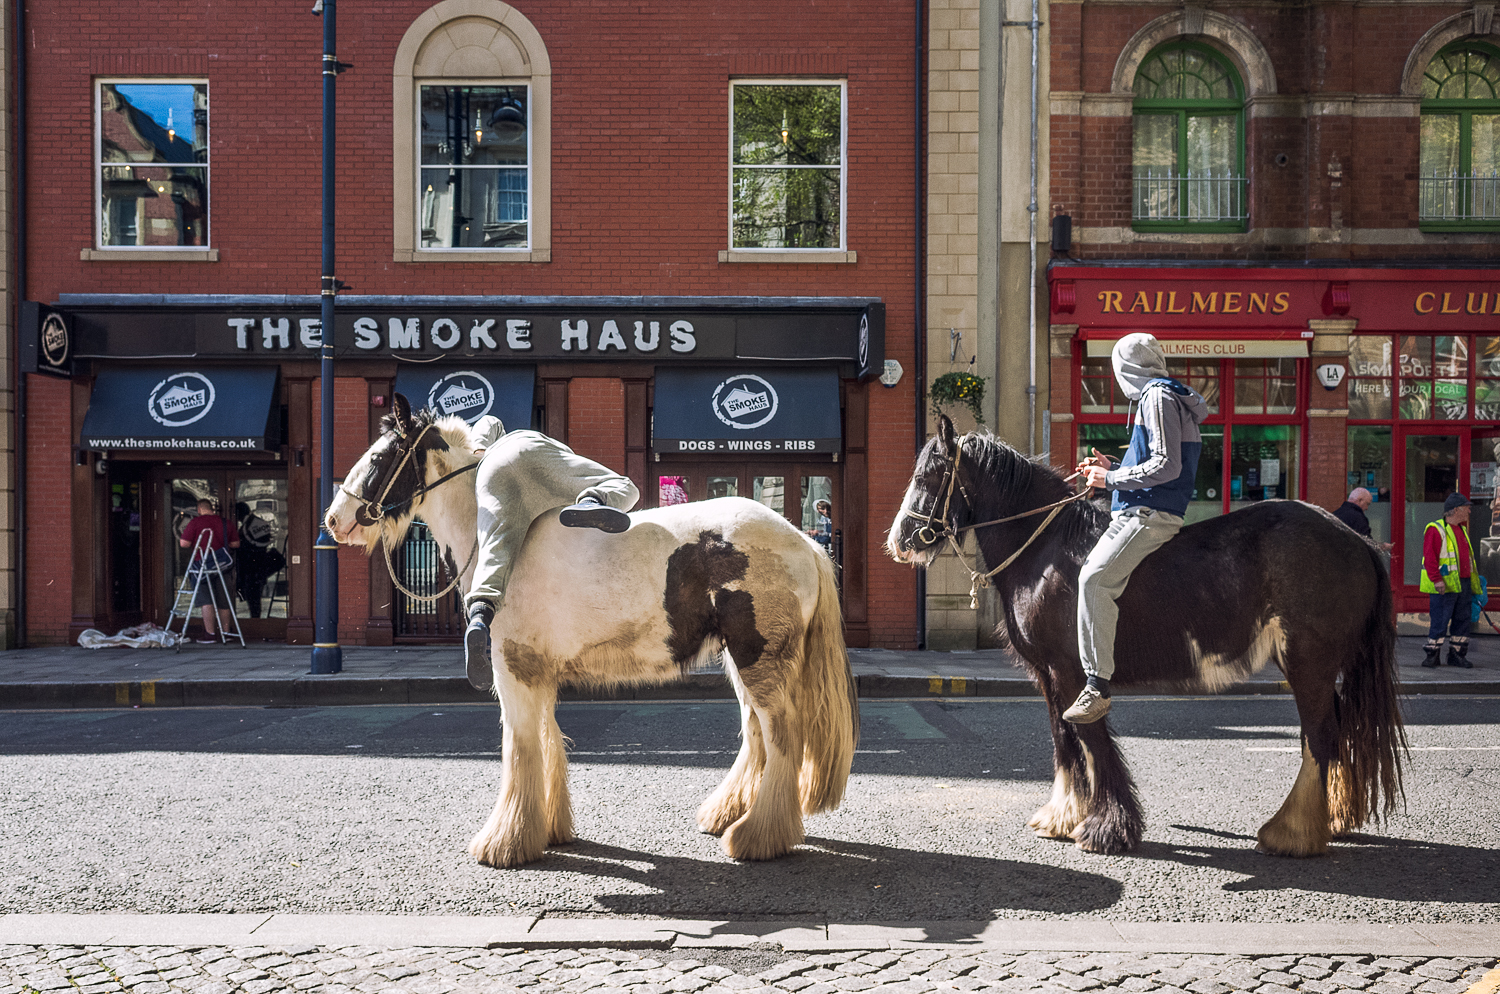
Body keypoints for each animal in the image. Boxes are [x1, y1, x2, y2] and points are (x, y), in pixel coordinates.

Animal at [325, 392, 870, 869]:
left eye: (380, 457)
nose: (335, 520)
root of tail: (804, 540)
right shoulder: (536, 671)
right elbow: (545, 741)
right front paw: (547, 830)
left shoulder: (512, 669)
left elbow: (519, 748)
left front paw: (505, 843)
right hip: (742, 660)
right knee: (757, 733)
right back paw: (727, 813)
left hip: (759, 657)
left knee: (781, 735)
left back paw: (757, 836)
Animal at [882, 416, 1398, 857]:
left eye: (931, 474)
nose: (899, 540)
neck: (1045, 550)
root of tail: (1356, 540)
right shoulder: (1047, 674)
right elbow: (1063, 739)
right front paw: (1062, 817)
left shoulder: (1074, 673)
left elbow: (1090, 740)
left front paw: (1107, 828)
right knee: (1334, 730)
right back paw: (1329, 817)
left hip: (1307, 661)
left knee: (1319, 735)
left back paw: (1291, 831)